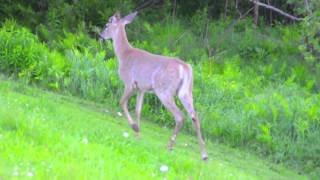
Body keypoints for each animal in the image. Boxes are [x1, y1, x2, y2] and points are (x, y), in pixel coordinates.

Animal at [100, 11, 209, 160]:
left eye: (107, 24)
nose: (100, 35)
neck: (123, 54)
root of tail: (185, 67)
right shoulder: (141, 88)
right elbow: (138, 110)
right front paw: (138, 134)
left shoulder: (130, 83)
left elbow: (122, 102)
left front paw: (135, 128)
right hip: (186, 93)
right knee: (195, 117)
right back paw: (204, 155)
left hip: (164, 91)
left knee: (180, 116)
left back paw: (169, 146)